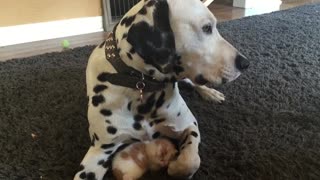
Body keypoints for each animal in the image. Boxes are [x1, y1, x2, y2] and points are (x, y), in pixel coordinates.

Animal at [74, 0, 249, 179]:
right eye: (207, 28)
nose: (245, 63)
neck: (142, 87)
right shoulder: (99, 152)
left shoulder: (189, 125)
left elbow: (191, 160)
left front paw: (175, 167)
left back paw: (210, 93)